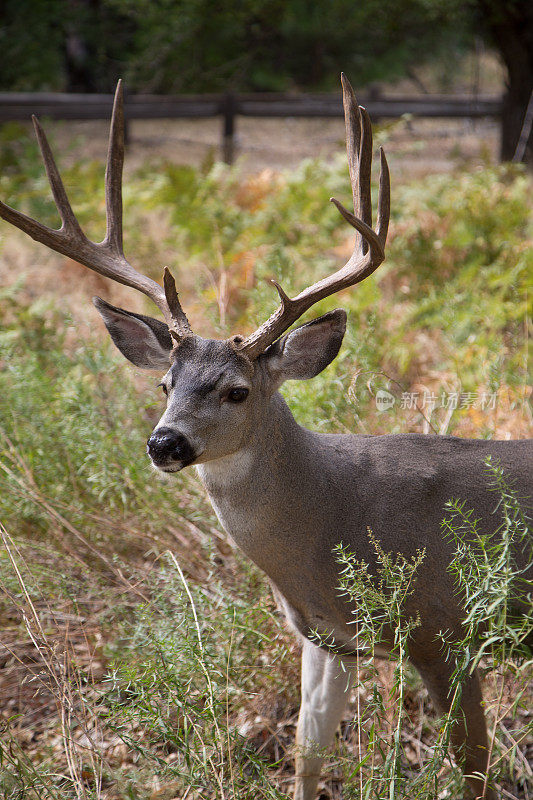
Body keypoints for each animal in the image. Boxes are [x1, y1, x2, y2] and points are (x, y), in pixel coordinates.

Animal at [1, 75, 532, 800]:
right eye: (164, 384)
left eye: (236, 390)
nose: (164, 444)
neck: (333, 516)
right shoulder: (327, 638)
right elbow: (308, 755)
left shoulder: (446, 632)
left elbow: (474, 771)